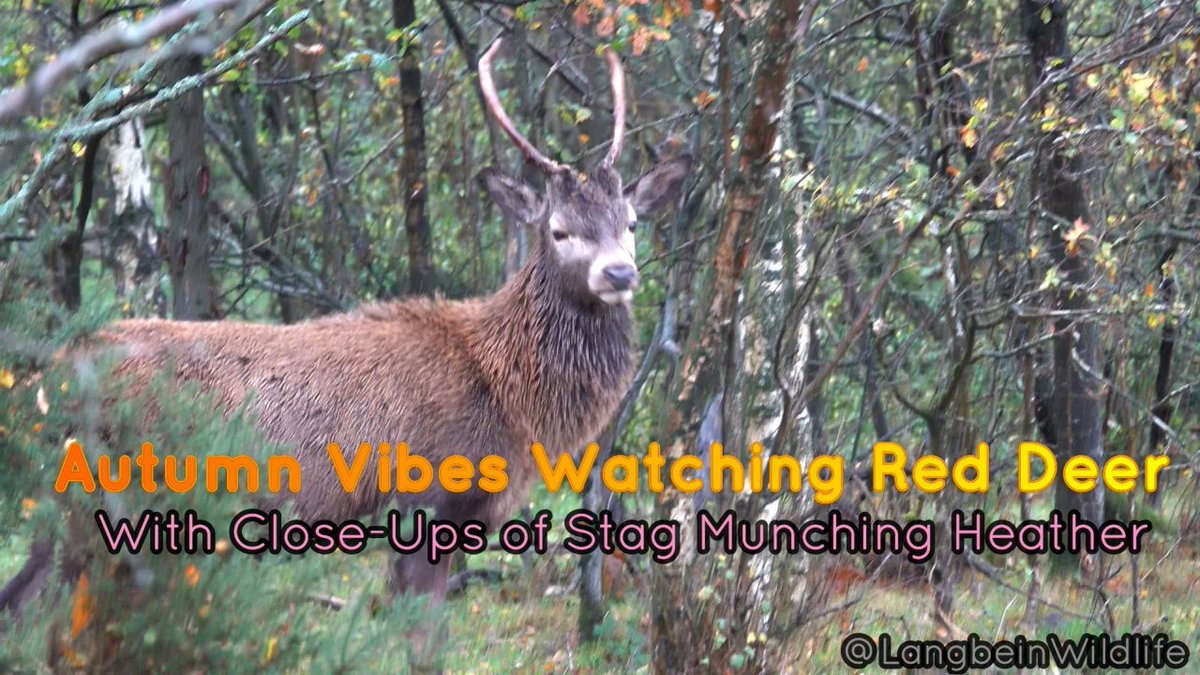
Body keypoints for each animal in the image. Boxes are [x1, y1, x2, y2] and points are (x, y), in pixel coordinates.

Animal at [0, 37, 692, 627]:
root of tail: (50, 373)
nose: (620, 272)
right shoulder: (424, 500)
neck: (508, 393)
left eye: (631, 222)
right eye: (558, 230)